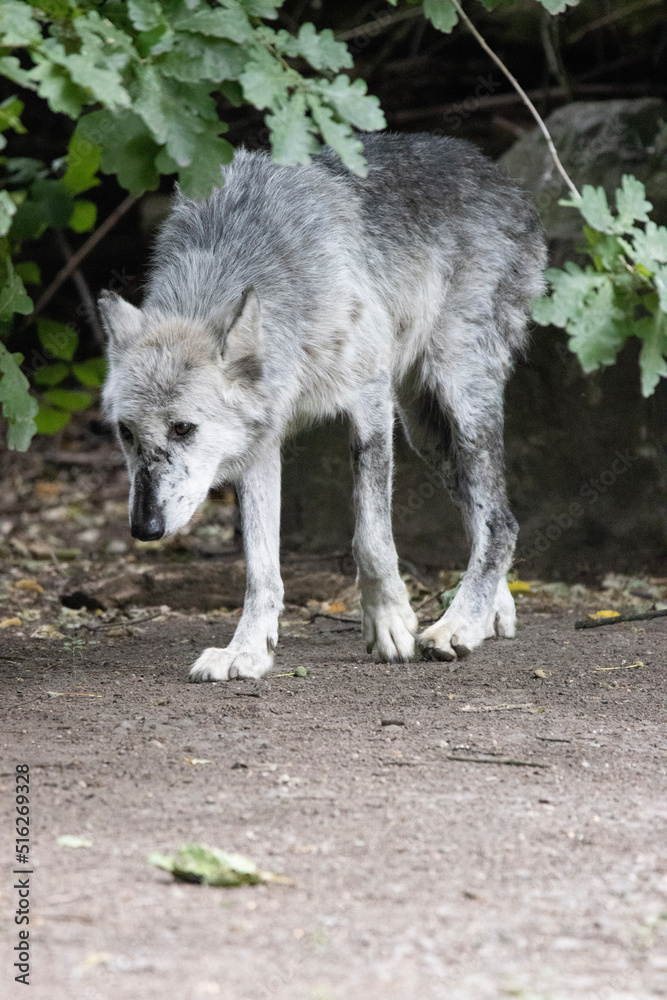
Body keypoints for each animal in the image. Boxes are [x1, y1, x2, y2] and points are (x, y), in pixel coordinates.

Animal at [99, 132, 546, 681]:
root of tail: (500, 178)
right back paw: (487, 615)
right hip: (426, 432)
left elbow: (371, 539)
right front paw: (247, 650)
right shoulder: (260, 443)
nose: (145, 529)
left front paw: (390, 623)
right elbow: (260, 568)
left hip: (456, 393)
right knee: (483, 515)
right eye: (126, 433)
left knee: (502, 520)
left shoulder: (370, 402)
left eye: (183, 428)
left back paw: (456, 626)